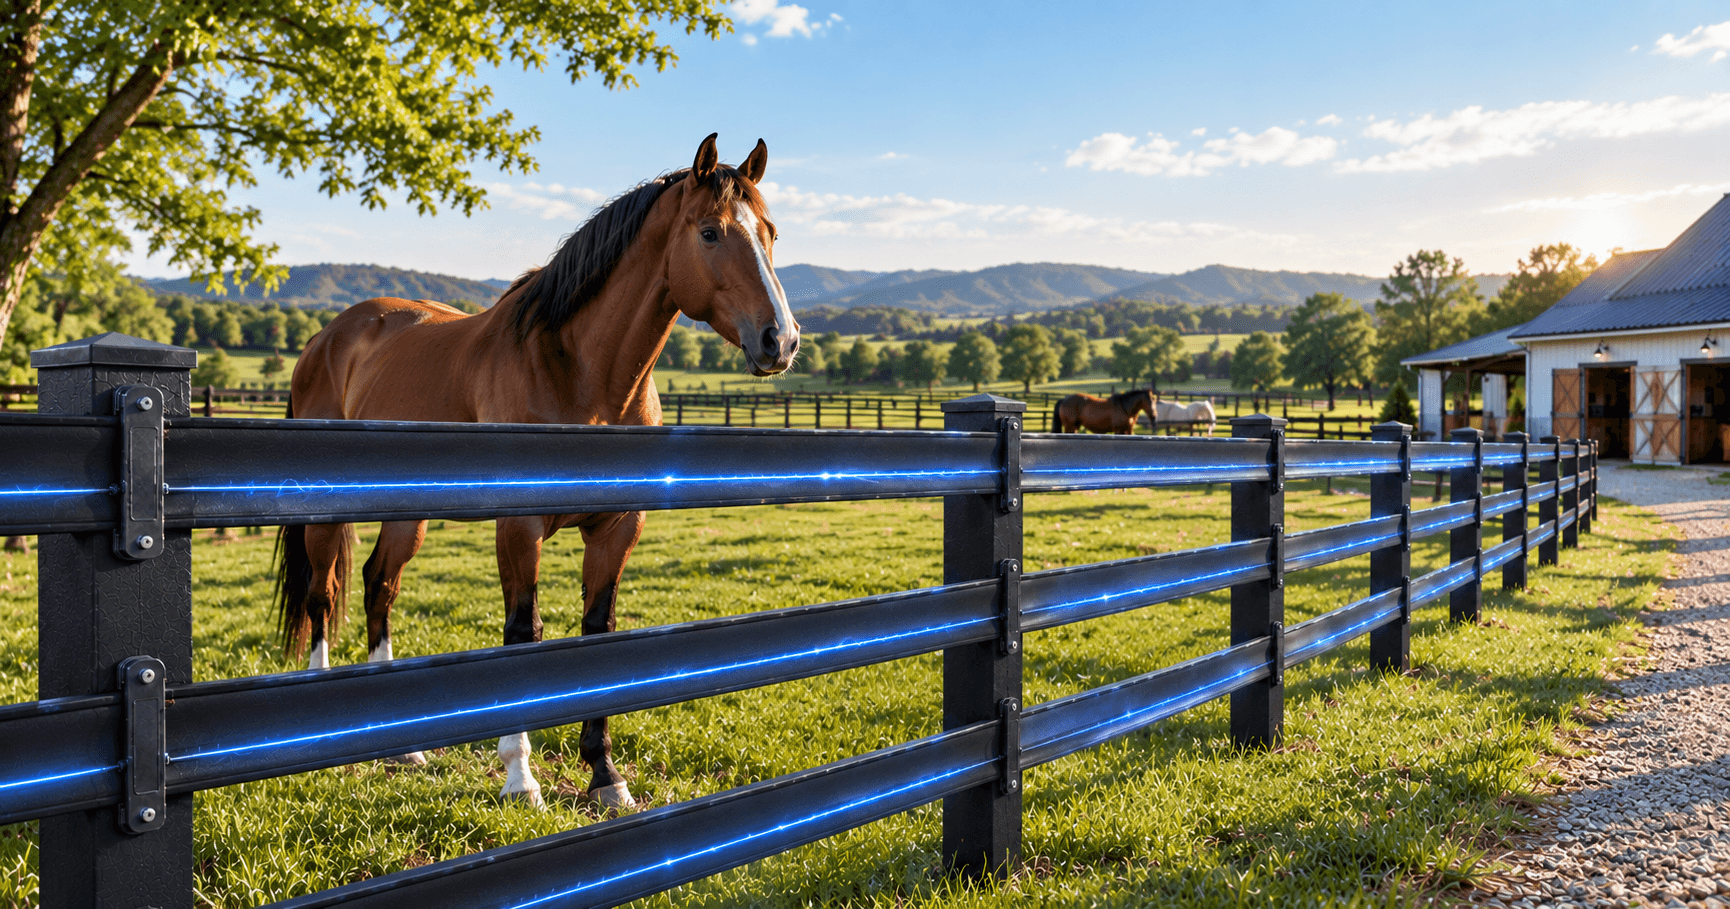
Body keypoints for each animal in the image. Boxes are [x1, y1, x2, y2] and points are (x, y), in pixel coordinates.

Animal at [274, 134, 798, 811]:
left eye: (771, 233)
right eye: (710, 232)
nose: (780, 341)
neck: (581, 375)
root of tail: (328, 339)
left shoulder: (616, 530)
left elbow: (598, 633)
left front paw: (606, 776)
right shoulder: (519, 528)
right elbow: (522, 634)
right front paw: (521, 778)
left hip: (404, 514)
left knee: (377, 584)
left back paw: (403, 748)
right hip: (326, 508)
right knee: (322, 591)